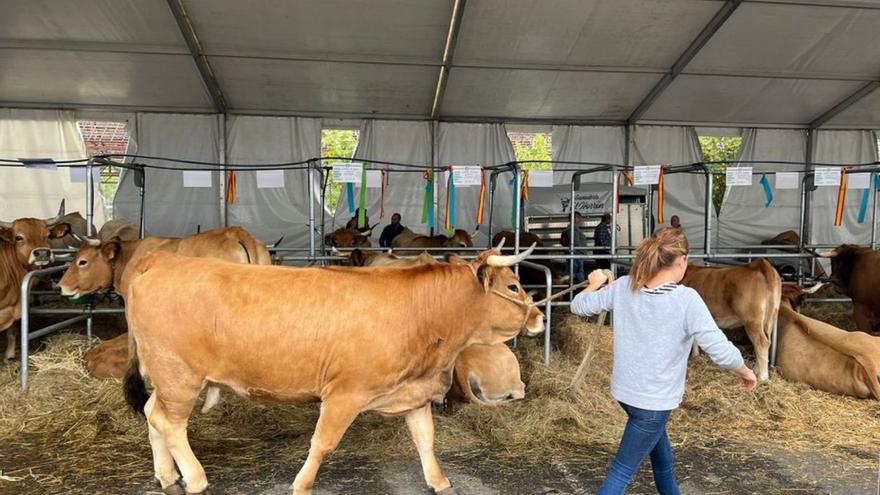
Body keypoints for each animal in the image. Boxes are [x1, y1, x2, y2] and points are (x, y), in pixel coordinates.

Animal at [120, 246, 540, 494]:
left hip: (167, 379)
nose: (538, 316)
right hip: (178, 376)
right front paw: (302, 484)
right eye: (513, 286)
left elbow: (425, 439)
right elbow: (323, 443)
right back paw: (195, 478)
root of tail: (162, 260)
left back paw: (167, 475)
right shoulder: (345, 394)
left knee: (153, 415)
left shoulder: (413, 391)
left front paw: (439, 481)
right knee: (170, 422)